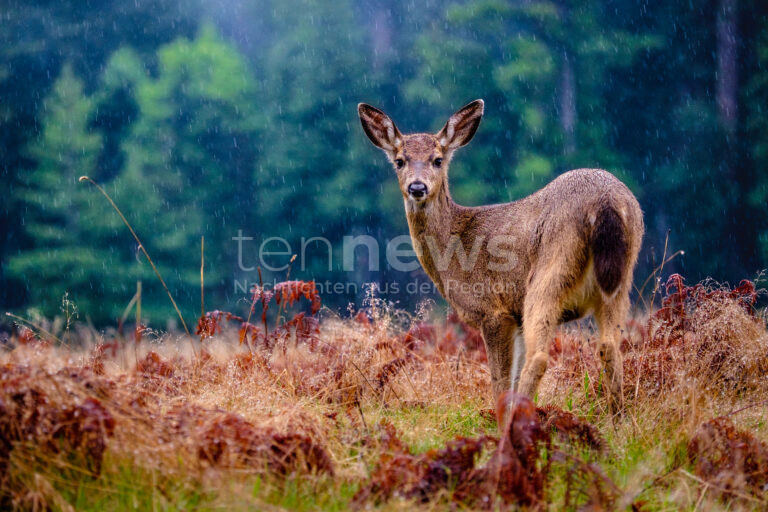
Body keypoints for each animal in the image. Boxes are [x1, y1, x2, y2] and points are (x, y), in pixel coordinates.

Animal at [358, 99, 640, 416]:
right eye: (400, 160)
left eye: (437, 160)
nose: (417, 187)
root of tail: (606, 202)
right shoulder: (515, 317)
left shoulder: (493, 310)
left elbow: (500, 383)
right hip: (620, 278)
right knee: (609, 346)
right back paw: (618, 418)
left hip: (549, 272)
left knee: (540, 357)